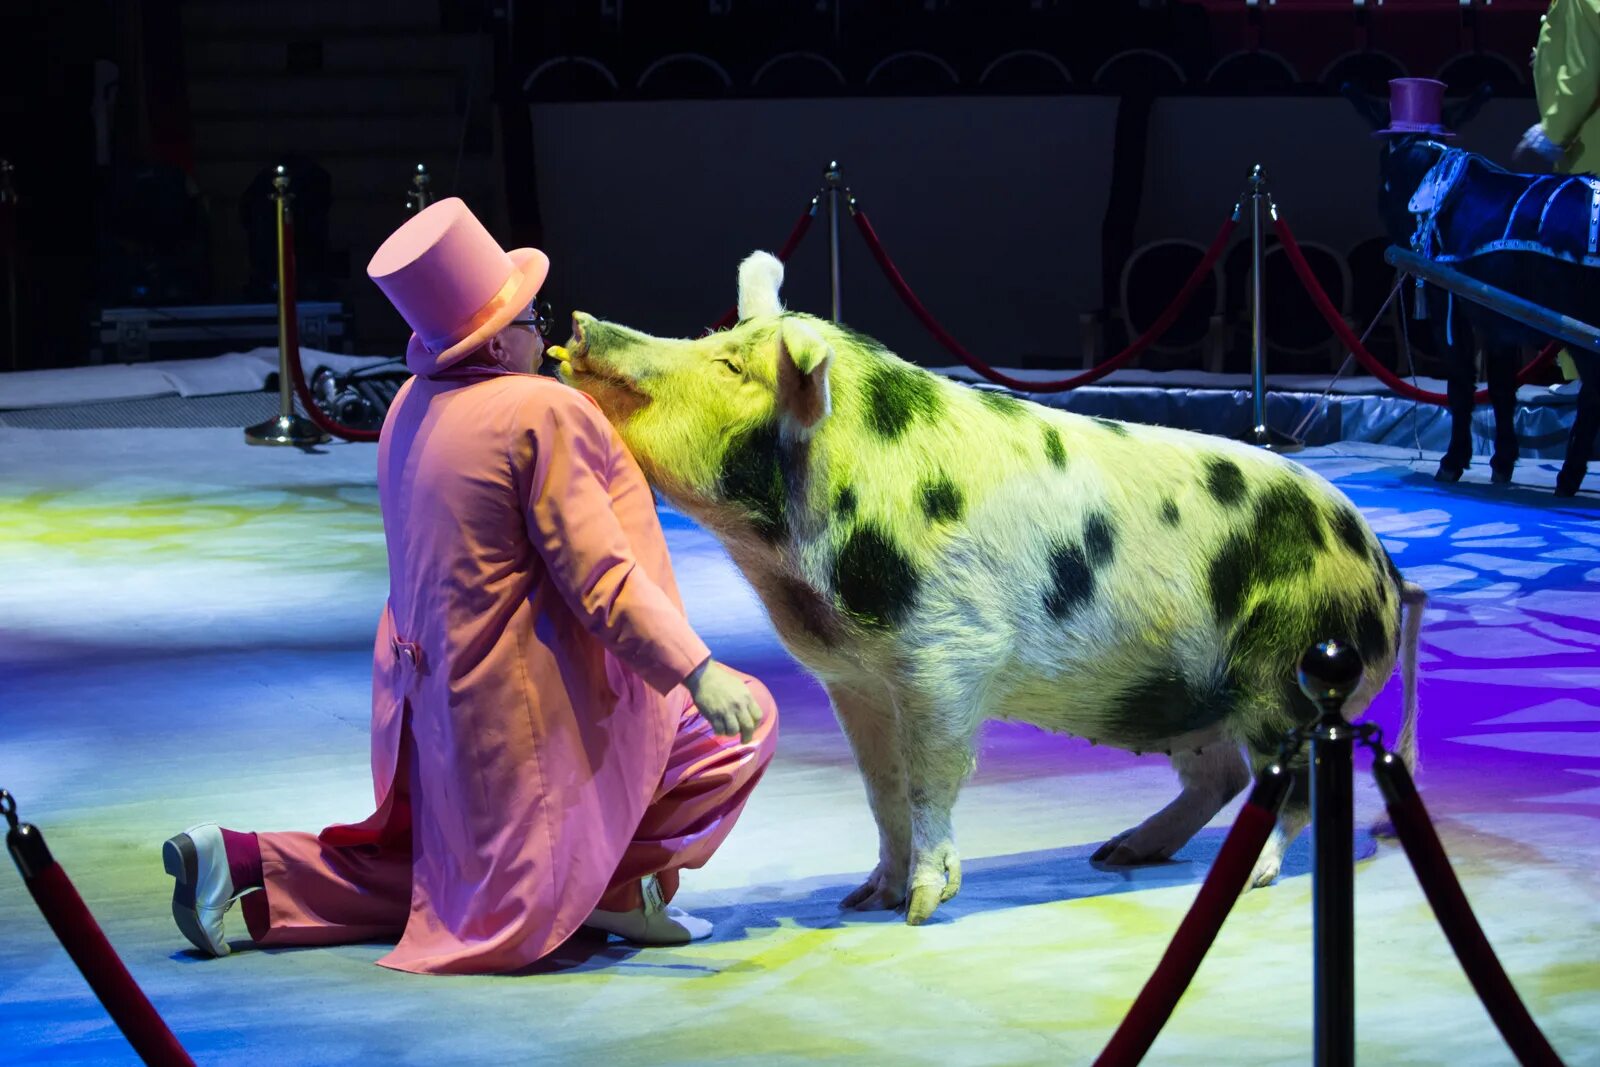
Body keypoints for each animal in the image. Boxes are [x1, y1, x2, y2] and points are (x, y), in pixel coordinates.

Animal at [560, 251, 1427, 927]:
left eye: (731, 368)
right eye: (715, 340)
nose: (581, 321)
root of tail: (1386, 567)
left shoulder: (947, 655)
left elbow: (930, 777)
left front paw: (918, 907)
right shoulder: (853, 676)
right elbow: (881, 787)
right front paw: (862, 898)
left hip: (1289, 680)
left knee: (1293, 784)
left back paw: (1249, 877)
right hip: (1192, 696)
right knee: (1224, 777)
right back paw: (1117, 853)